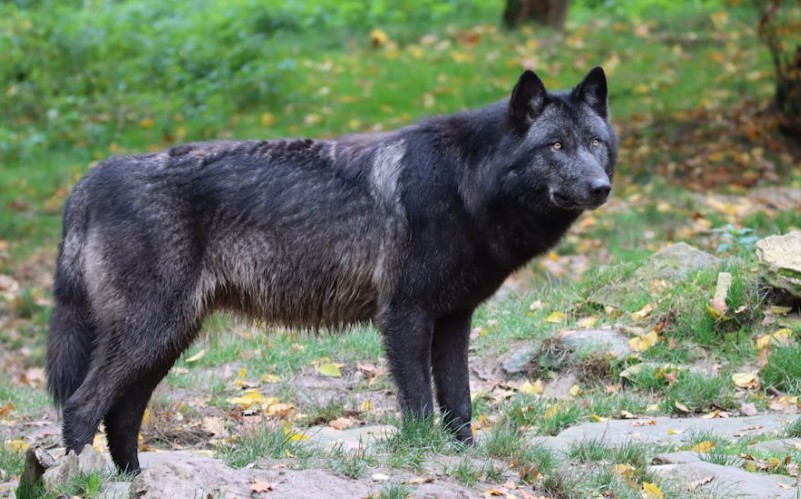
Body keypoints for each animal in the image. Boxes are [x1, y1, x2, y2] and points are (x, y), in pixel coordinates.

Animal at [46, 67, 616, 473]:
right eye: (556, 145)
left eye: (595, 143)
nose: (601, 187)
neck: (465, 182)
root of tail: (91, 178)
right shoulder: (404, 315)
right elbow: (419, 405)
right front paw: (425, 460)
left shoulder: (455, 320)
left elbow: (460, 404)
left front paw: (467, 461)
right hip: (150, 332)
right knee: (81, 406)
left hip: (167, 338)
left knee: (121, 415)